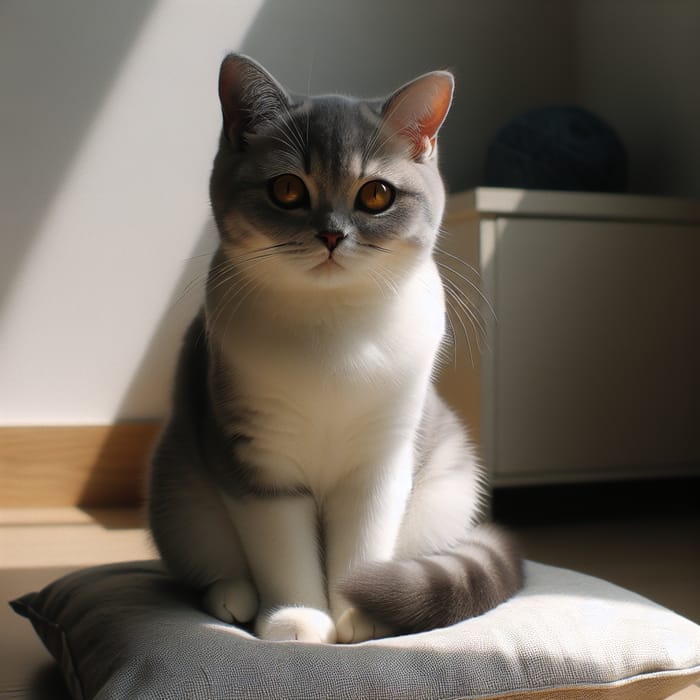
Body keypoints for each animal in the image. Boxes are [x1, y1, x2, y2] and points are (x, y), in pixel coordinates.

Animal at [149, 54, 520, 644]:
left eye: (376, 194)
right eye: (286, 189)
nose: (331, 235)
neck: (335, 329)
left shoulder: (382, 459)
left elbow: (363, 548)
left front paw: (362, 611)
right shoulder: (257, 458)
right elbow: (282, 552)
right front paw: (297, 619)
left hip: (448, 490)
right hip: (180, 498)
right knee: (210, 563)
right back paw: (232, 596)